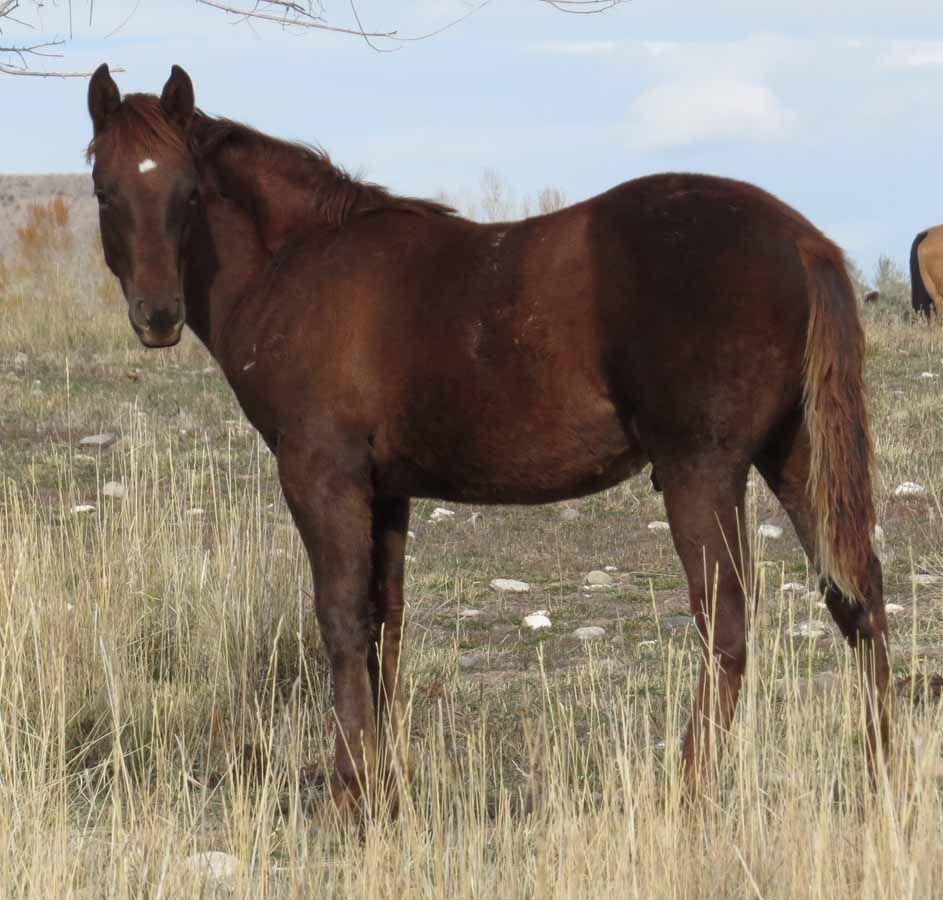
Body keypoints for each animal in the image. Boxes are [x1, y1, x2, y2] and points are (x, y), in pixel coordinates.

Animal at [86, 63, 890, 816]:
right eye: (104, 190)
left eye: (189, 195)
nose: (157, 316)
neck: (301, 263)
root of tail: (799, 236)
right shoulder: (387, 492)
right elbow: (383, 627)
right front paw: (385, 786)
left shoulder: (323, 478)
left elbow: (342, 623)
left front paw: (350, 795)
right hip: (795, 458)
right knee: (856, 595)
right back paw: (881, 765)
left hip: (703, 471)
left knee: (726, 627)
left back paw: (688, 787)